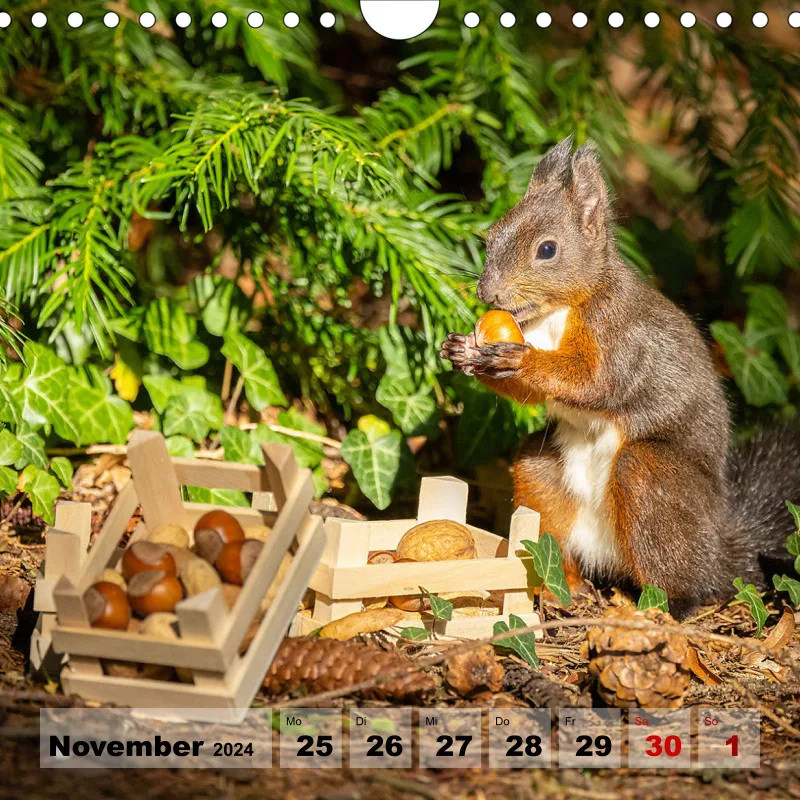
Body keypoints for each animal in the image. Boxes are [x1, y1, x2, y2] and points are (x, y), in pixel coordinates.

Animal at [441, 136, 798, 618]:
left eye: (547, 250)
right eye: (492, 235)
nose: (488, 293)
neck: (559, 311)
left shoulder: (621, 336)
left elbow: (597, 381)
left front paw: (522, 361)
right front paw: (461, 349)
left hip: (653, 482)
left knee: (684, 579)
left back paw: (661, 607)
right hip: (540, 475)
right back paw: (563, 588)